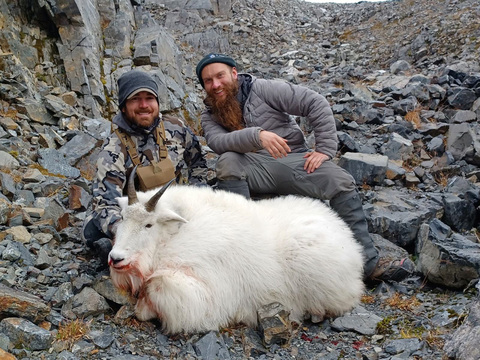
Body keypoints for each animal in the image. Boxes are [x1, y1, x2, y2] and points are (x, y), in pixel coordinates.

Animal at [109, 169, 364, 334]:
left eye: (148, 224)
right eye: (121, 217)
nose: (116, 258)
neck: (173, 236)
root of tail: (351, 244)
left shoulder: (208, 294)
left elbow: (157, 284)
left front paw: (142, 309)